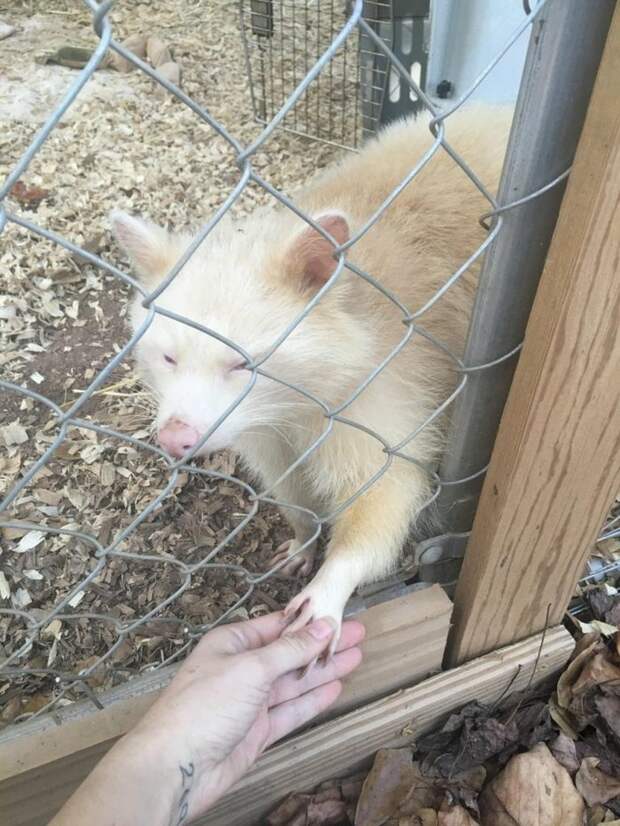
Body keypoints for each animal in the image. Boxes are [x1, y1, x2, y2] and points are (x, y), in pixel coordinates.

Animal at [114, 106, 512, 652]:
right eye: (169, 358)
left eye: (242, 364)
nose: (175, 440)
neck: (290, 404)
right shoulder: (268, 429)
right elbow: (288, 484)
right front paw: (305, 534)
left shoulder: (379, 385)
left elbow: (387, 491)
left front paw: (336, 575)